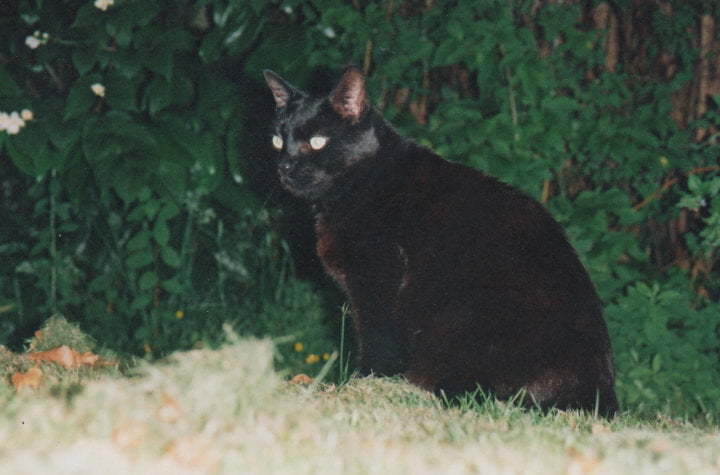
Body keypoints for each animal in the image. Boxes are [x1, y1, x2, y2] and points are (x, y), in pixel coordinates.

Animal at [262, 67, 620, 416]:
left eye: (317, 141)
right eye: (278, 140)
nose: (285, 166)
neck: (362, 181)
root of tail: (600, 397)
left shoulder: (377, 281)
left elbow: (379, 341)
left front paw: (364, 386)